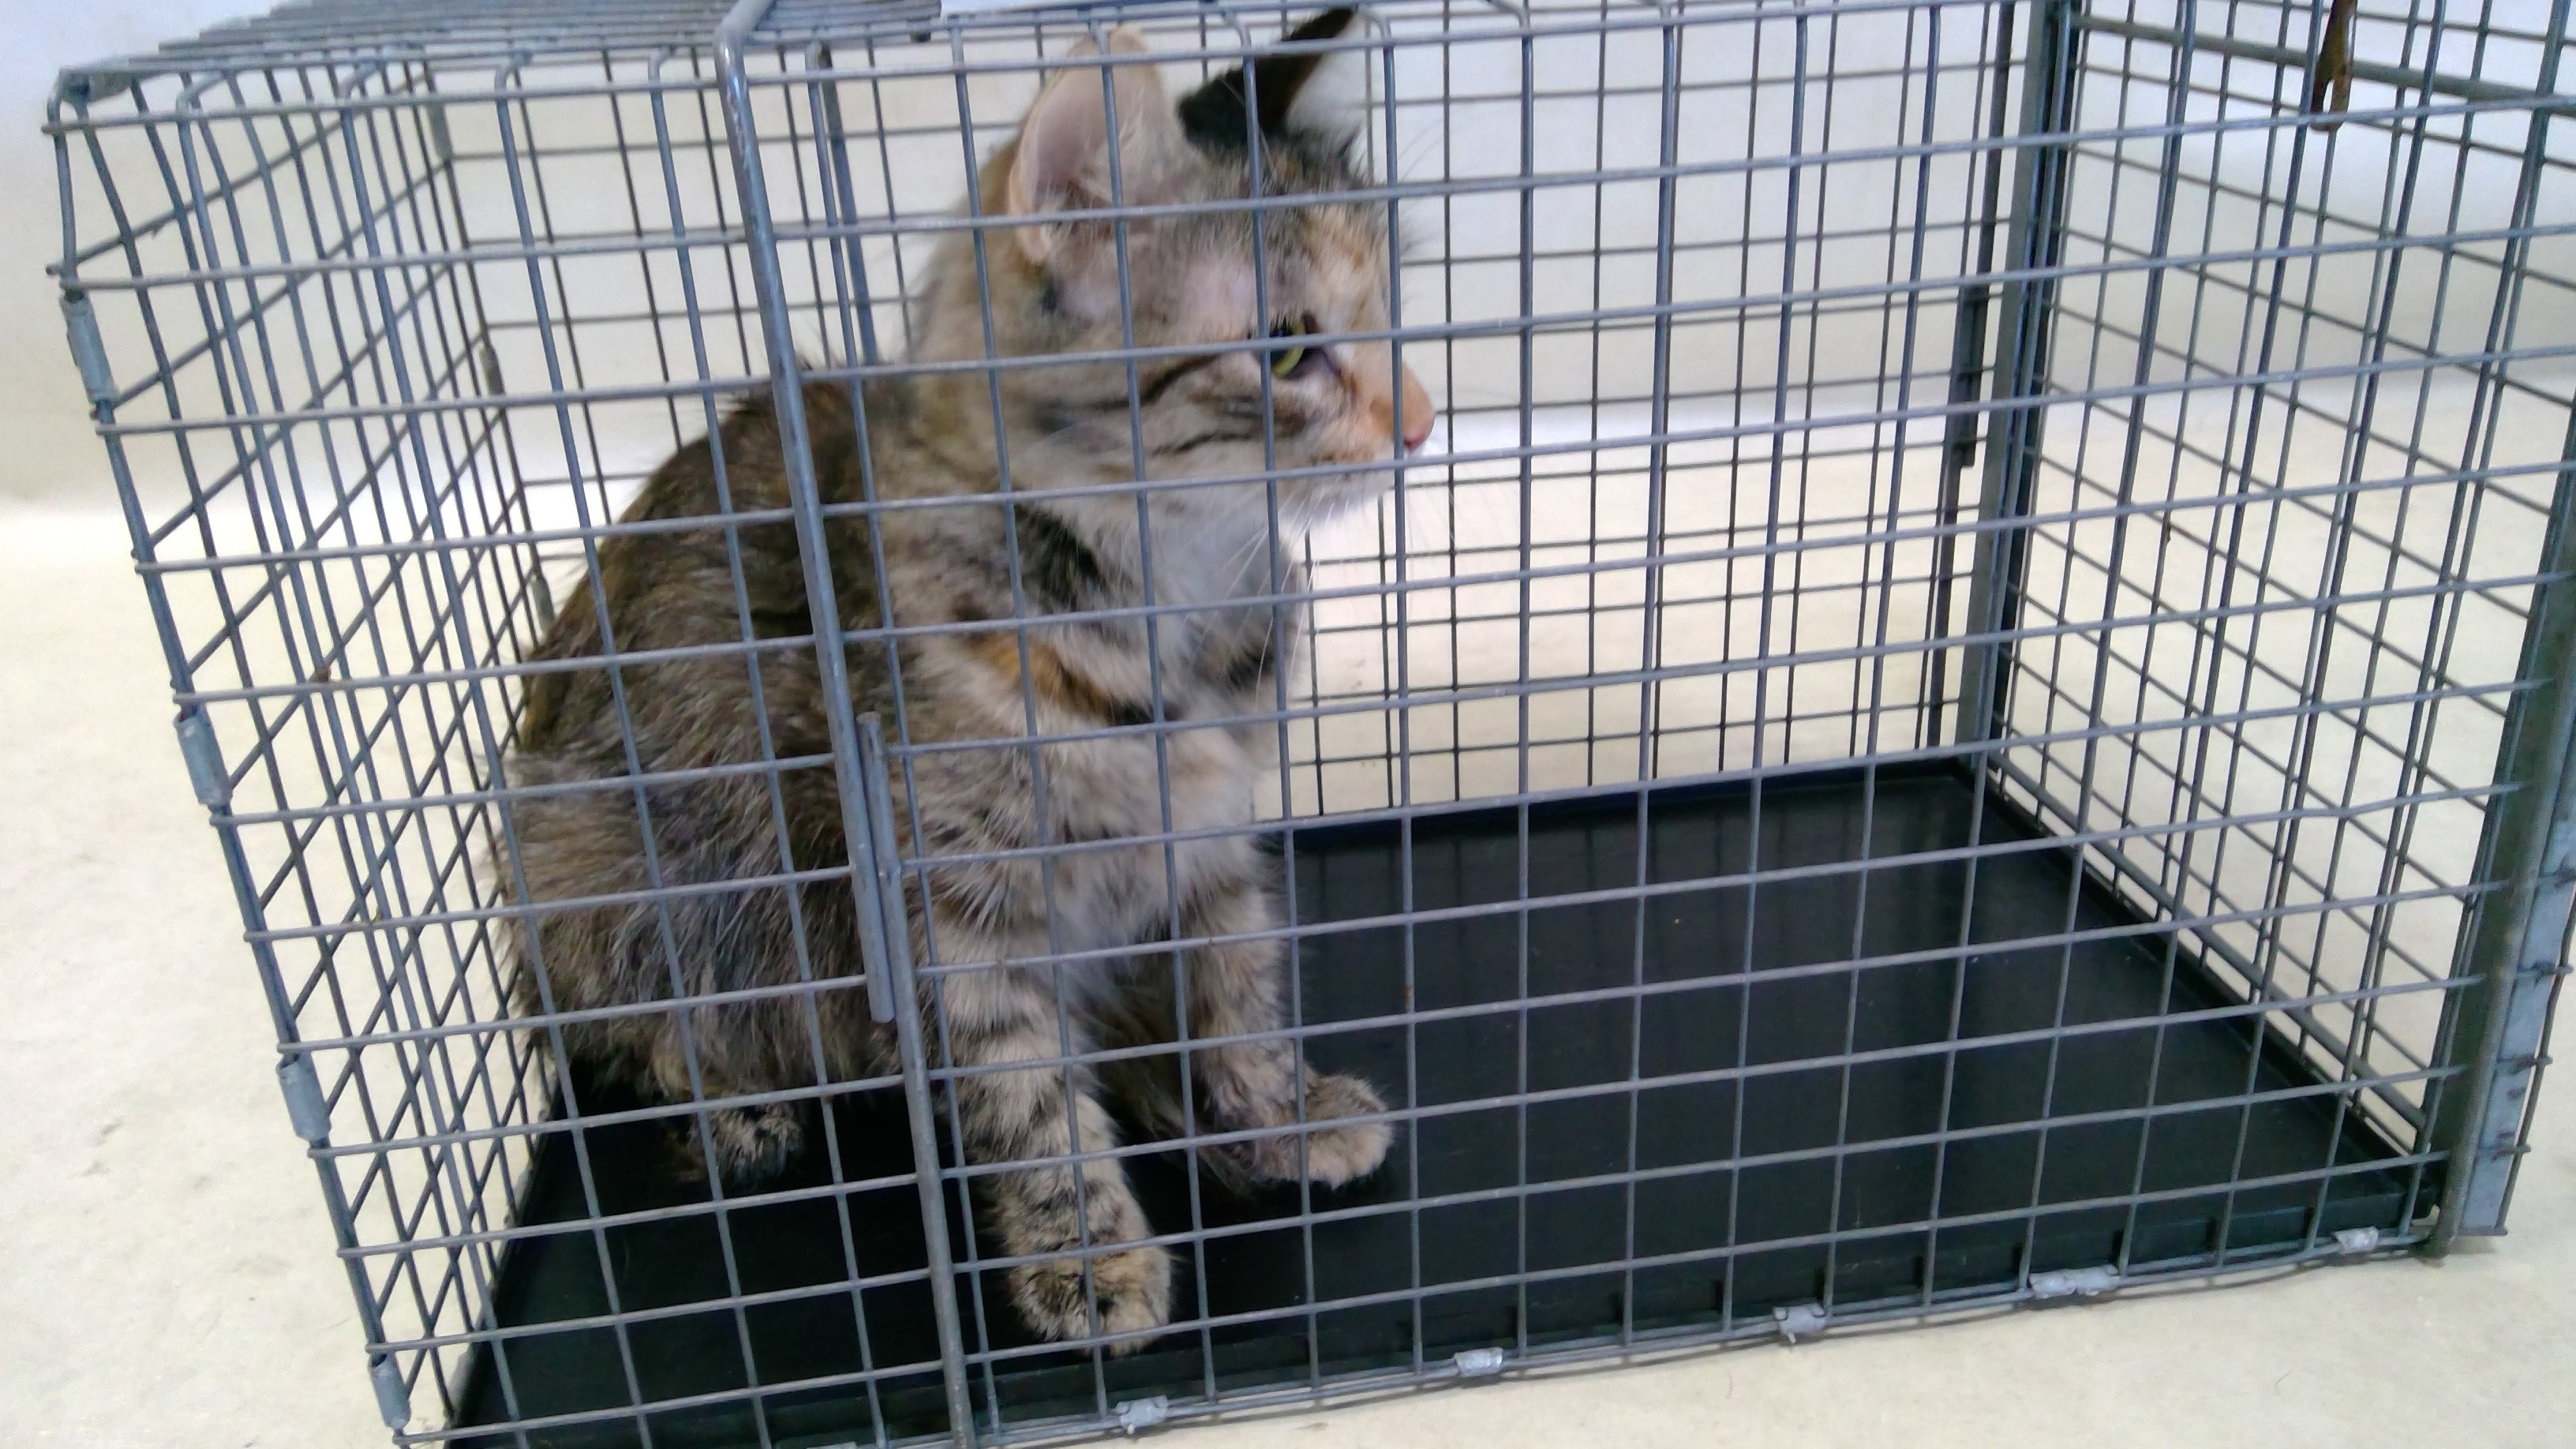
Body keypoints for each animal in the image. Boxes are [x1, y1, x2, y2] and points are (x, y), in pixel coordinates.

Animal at [500, 7, 1429, 1352]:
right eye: (1291, 349)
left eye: (1393, 322)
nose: (1420, 422)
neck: (1168, 598)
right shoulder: (952, 904)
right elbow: (1025, 1091)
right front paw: (1089, 1257)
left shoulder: (1208, 832)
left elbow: (1236, 983)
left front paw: (1273, 1111)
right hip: (596, 858)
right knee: (636, 1029)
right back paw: (735, 1101)